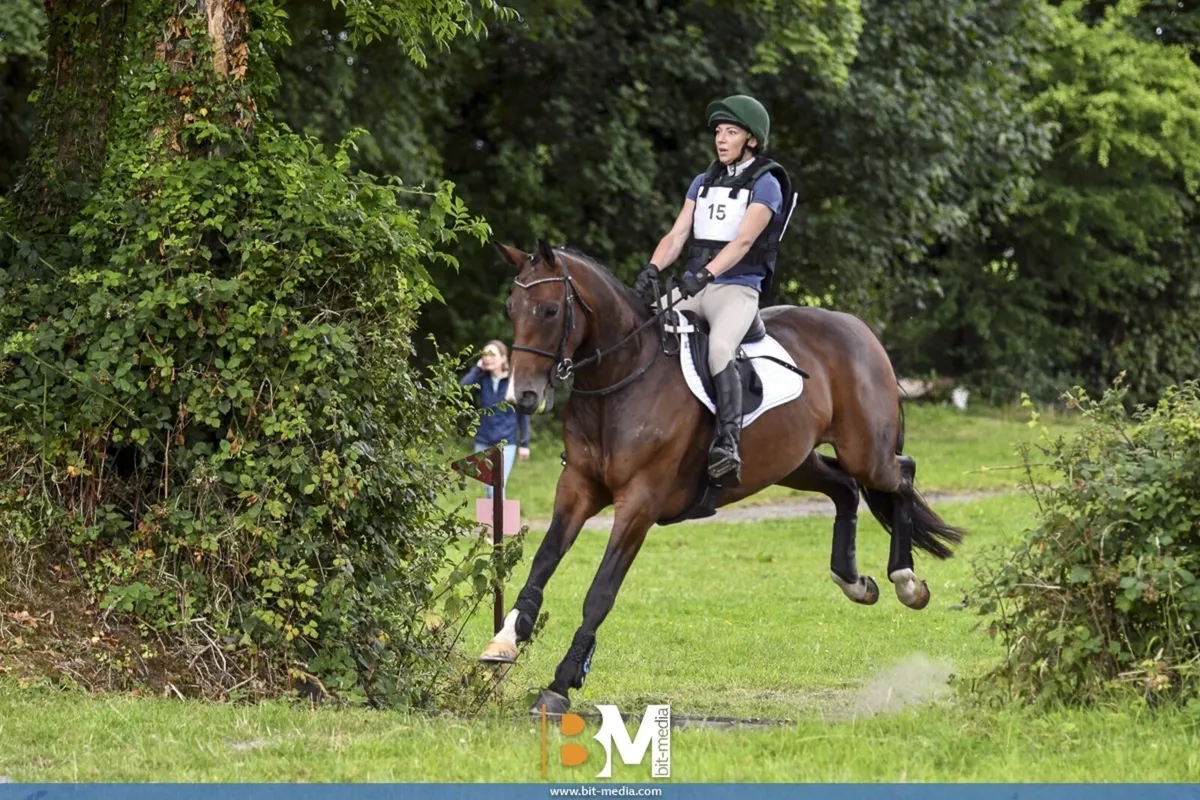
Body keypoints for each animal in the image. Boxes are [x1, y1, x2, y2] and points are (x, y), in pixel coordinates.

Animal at [478, 240, 966, 716]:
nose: (522, 396)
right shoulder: (577, 487)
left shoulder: (639, 501)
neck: (621, 377)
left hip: (866, 454)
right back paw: (855, 582)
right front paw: (504, 640)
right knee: (845, 488)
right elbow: (543, 562)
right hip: (792, 462)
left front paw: (561, 683)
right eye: (510, 308)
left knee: (901, 475)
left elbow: (601, 591)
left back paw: (906, 581)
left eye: (549, 311)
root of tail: (856, 326)